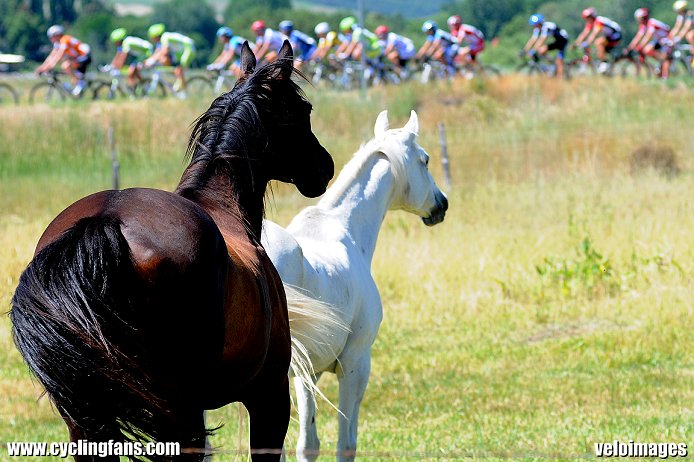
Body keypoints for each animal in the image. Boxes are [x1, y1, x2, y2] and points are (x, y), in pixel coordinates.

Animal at [9, 41, 336, 460]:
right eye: (303, 109)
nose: (324, 167)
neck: (220, 204)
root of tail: (105, 221)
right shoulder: (270, 397)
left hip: (88, 418)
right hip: (182, 414)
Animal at [262, 111, 452, 462]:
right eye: (426, 160)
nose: (441, 204)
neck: (343, 228)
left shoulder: (309, 373)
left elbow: (307, 444)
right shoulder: (355, 364)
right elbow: (345, 443)